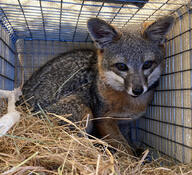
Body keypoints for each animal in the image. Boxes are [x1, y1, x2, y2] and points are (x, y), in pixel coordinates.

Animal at [19, 15, 174, 154]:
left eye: (147, 64)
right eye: (121, 66)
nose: (137, 90)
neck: (131, 104)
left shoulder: (125, 122)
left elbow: (127, 141)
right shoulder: (103, 119)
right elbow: (123, 147)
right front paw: (131, 160)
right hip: (82, 108)